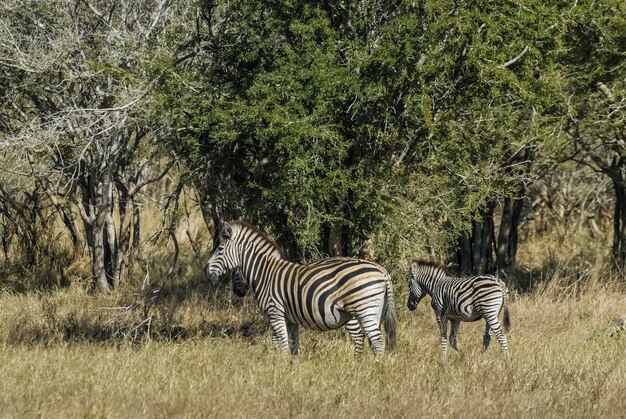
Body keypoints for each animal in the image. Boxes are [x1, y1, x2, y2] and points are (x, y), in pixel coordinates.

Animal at [202, 220, 394, 358]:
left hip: (364, 309)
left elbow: (281, 344)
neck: (265, 273)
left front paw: (281, 368)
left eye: (220, 250)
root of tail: (381, 270)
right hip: (374, 311)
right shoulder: (289, 319)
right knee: (371, 340)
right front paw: (291, 368)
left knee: (377, 341)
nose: (205, 271)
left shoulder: (275, 313)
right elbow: (291, 345)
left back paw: (374, 368)